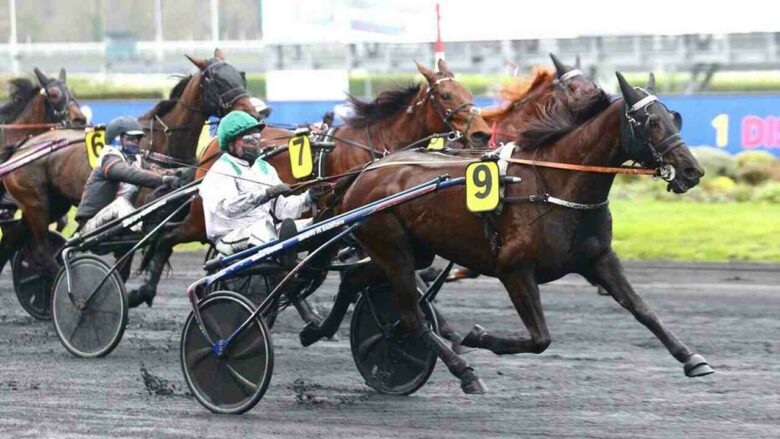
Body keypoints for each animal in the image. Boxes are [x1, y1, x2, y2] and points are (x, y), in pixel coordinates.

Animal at [1, 49, 258, 292]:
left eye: (241, 75)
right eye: (216, 79)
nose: (254, 113)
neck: (163, 143)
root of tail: (22, 146)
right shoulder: (134, 220)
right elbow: (124, 265)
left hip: (53, 204)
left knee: (15, 237)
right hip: (37, 204)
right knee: (41, 252)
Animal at [130, 59, 490, 310]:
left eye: (469, 93)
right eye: (446, 95)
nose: (482, 134)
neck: (373, 146)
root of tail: (211, 148)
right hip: (200, 218)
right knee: (167, 236)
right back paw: (140, 291)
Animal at [336, 72, 712, 396]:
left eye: (674, 117)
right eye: (651, 122)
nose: (691, 170)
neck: (557, 184)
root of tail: (368, 171)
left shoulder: (599, 259)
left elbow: (643, 309)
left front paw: (692, 358)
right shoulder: (513, 269)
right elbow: (540, 339)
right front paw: (478, 336)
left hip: (411, 251)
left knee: (356, 279)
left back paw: (326, 327)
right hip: (393, 248)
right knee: (412, 316)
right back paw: (464, 372)